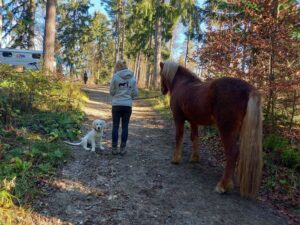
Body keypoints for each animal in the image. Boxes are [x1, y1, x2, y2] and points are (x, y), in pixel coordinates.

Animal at [159, 60, 262, 198]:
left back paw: (222, 186)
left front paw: (175, 159)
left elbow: (179, 136)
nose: (162, 90)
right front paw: (194, 158)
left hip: (226, 129)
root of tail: (249, 89)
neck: (182, 84)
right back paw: (229, 183)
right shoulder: (193, 121)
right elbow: (194, 138)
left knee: (232, 153)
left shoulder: (178, 118)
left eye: (160, 74)